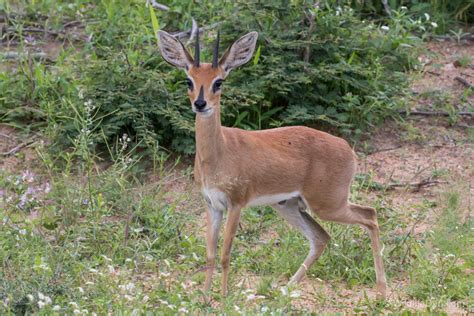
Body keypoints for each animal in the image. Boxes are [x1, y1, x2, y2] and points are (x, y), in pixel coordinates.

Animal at [157, 29, 386, 298]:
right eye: (189, 81)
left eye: (219, 81)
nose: (200, 104)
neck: (217, 154)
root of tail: (347, 149)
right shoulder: (212, 205)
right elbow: (210, 255)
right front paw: (204, 297)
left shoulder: (236, 204)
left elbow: (225, 255)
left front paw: (223, 297)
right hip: (289, 205)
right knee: (321, 237)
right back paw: (284, 290)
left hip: (328, 205)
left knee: (370, 215)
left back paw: (381, 291)